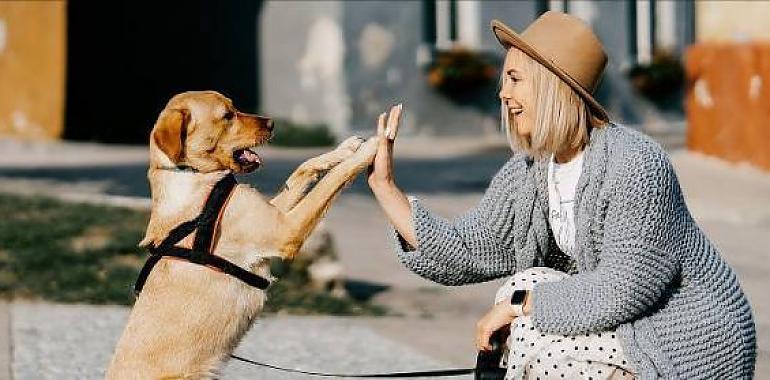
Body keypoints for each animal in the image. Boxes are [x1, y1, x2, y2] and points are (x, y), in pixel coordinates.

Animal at [106, 90, 382, 378]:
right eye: (227, 115)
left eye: (234, 106)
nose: (272, 123)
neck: (191, 175)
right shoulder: (286, 230)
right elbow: (332, 181)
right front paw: (372, 147)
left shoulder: (276, 214)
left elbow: (303, 169)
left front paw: (346, 148)